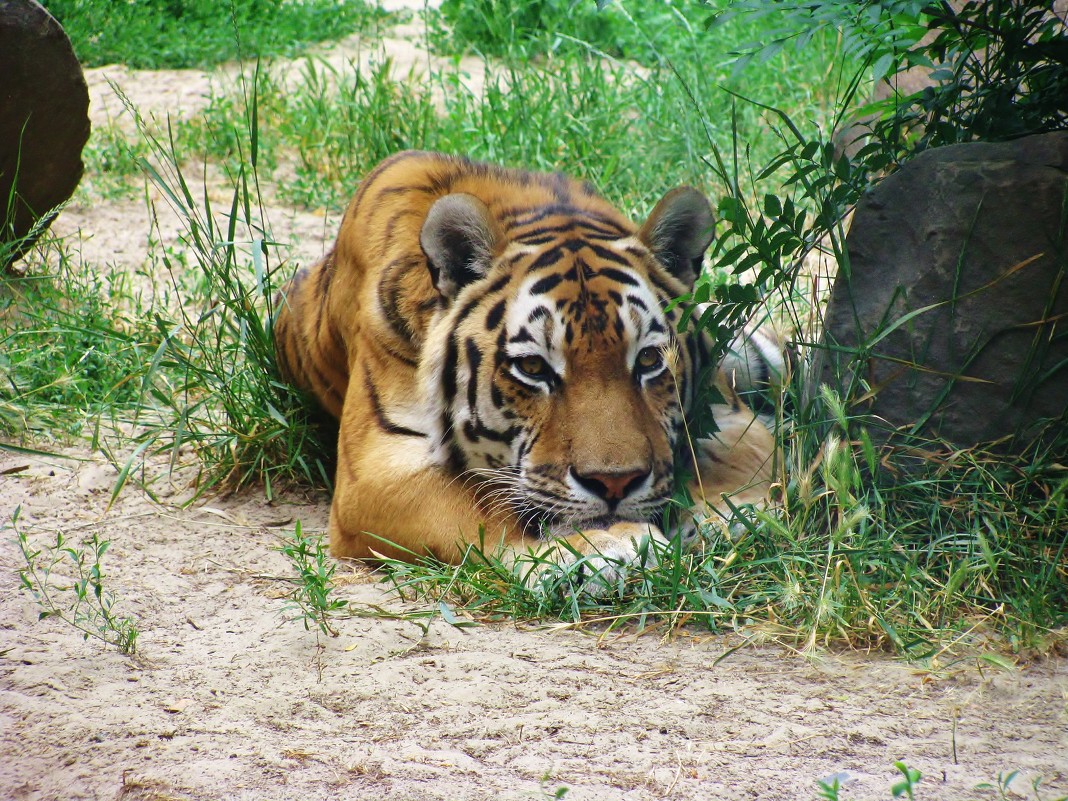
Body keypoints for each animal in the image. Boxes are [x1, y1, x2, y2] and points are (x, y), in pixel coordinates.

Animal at [275, 150, 777, 585]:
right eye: (534, 367)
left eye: (650, 360)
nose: (615, 484)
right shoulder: (374, 469)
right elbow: (481, 506)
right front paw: (604, 543)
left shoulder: (725, 409)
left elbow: (747, 454)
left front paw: (734, 512)